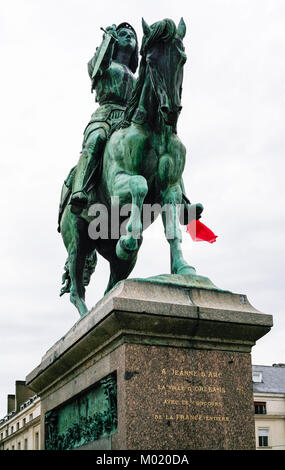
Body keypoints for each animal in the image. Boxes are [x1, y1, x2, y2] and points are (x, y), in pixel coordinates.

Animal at [58, 19, 201, 320]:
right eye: (151, 58)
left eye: (182, 57)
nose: (171, 110)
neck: (155, 129)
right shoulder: (118, 184)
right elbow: (139, 184)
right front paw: (129, 238)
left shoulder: (170, 189)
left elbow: (173, 230)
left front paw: (183, 268)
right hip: (76, 241)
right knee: (76, 287)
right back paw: (86, 315)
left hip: (112, 253)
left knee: (112, 283)